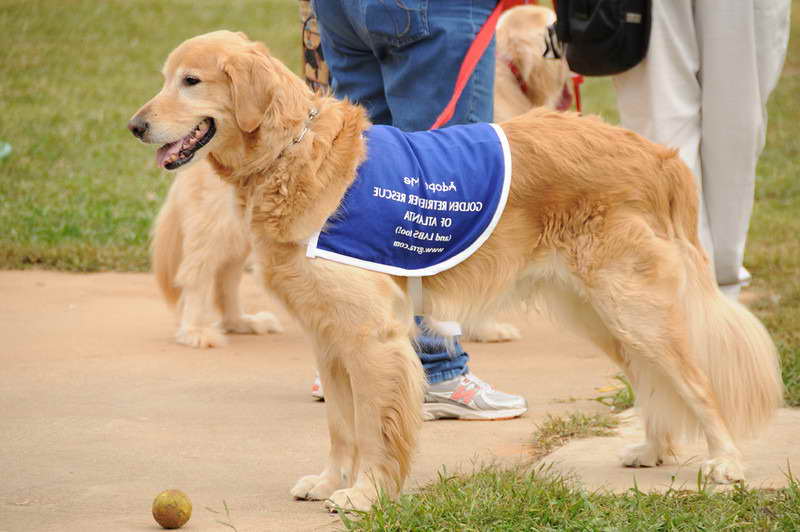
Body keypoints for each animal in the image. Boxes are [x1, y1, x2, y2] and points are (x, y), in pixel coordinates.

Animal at [130, 32, 780, 512]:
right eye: (165, 78)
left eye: (191, 81)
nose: (135, 126)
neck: (291, 155)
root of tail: (659, 155)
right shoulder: (328, 337)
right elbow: (340, 424)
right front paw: (330, 481)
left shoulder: (371, 337)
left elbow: (373, 427)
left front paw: (365, 493)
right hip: (601, 315)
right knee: (653, 380)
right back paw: (654, 447)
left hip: (632, 308)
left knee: (696, 381)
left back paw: (726, 461)